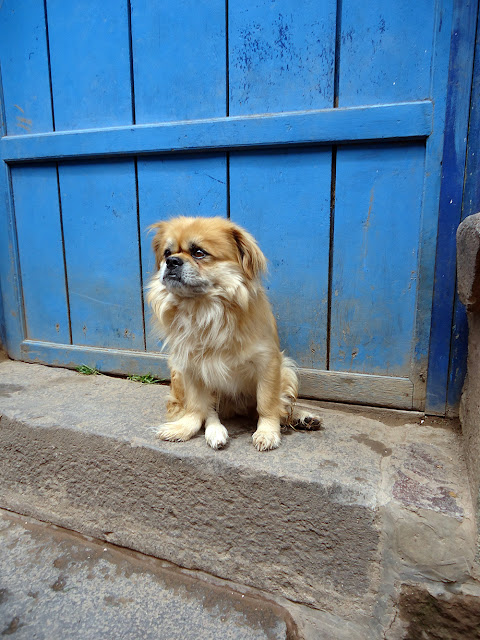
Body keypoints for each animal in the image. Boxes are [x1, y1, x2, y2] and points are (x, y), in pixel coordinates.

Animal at [144, 218, 320, 452]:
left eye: (198, 253)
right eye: (166, 253)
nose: (172, 261)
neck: (204, 309)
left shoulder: (269, 363)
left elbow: (267, 403)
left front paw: (267, 432)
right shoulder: (189, 366)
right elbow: (195, 407)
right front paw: (185, 428)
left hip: (287, 370)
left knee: (279, 406)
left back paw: (303, 417)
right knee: (209, 411)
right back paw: (215, 433)